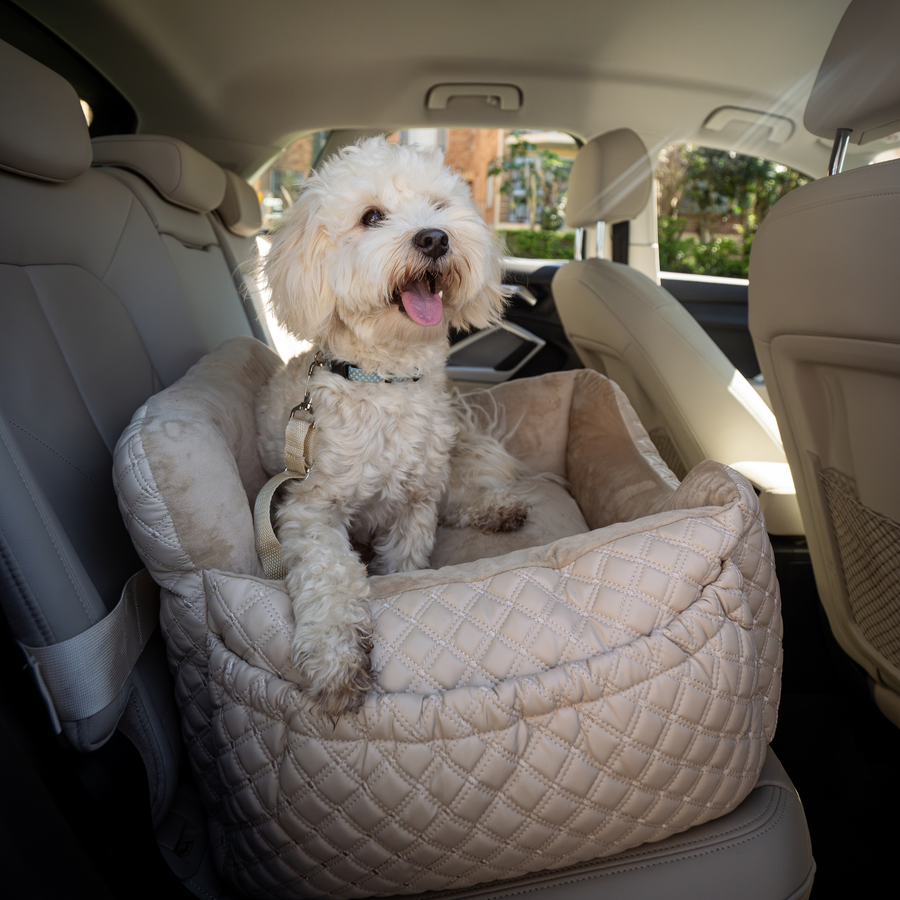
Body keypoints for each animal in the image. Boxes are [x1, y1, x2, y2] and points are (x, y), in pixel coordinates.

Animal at [255, 137, 536, 716]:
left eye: (438, 207)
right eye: (371, 217)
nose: (434, 237)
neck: (386, 382)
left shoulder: (415, 504)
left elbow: (407, 560)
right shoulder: (306, 507)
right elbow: (330, 574)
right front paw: (336, 655)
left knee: (460, 498)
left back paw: (497, 508)